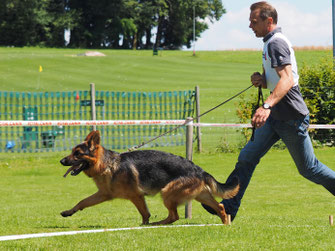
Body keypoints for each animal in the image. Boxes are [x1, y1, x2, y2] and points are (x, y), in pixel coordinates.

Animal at [59, 130, 239, 225]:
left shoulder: (136, 196)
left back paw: (156, 224)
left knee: (174, 216)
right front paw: (69, 212)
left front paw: (144, 225)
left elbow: (145, 214)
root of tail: (198, 169)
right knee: (220, 207)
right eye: (72, 152)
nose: (61, 161)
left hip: (167, 192)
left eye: (78, 154)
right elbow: (83, 202)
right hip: (201, 196)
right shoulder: (103, 194)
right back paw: (225, 223)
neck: (108, 164)